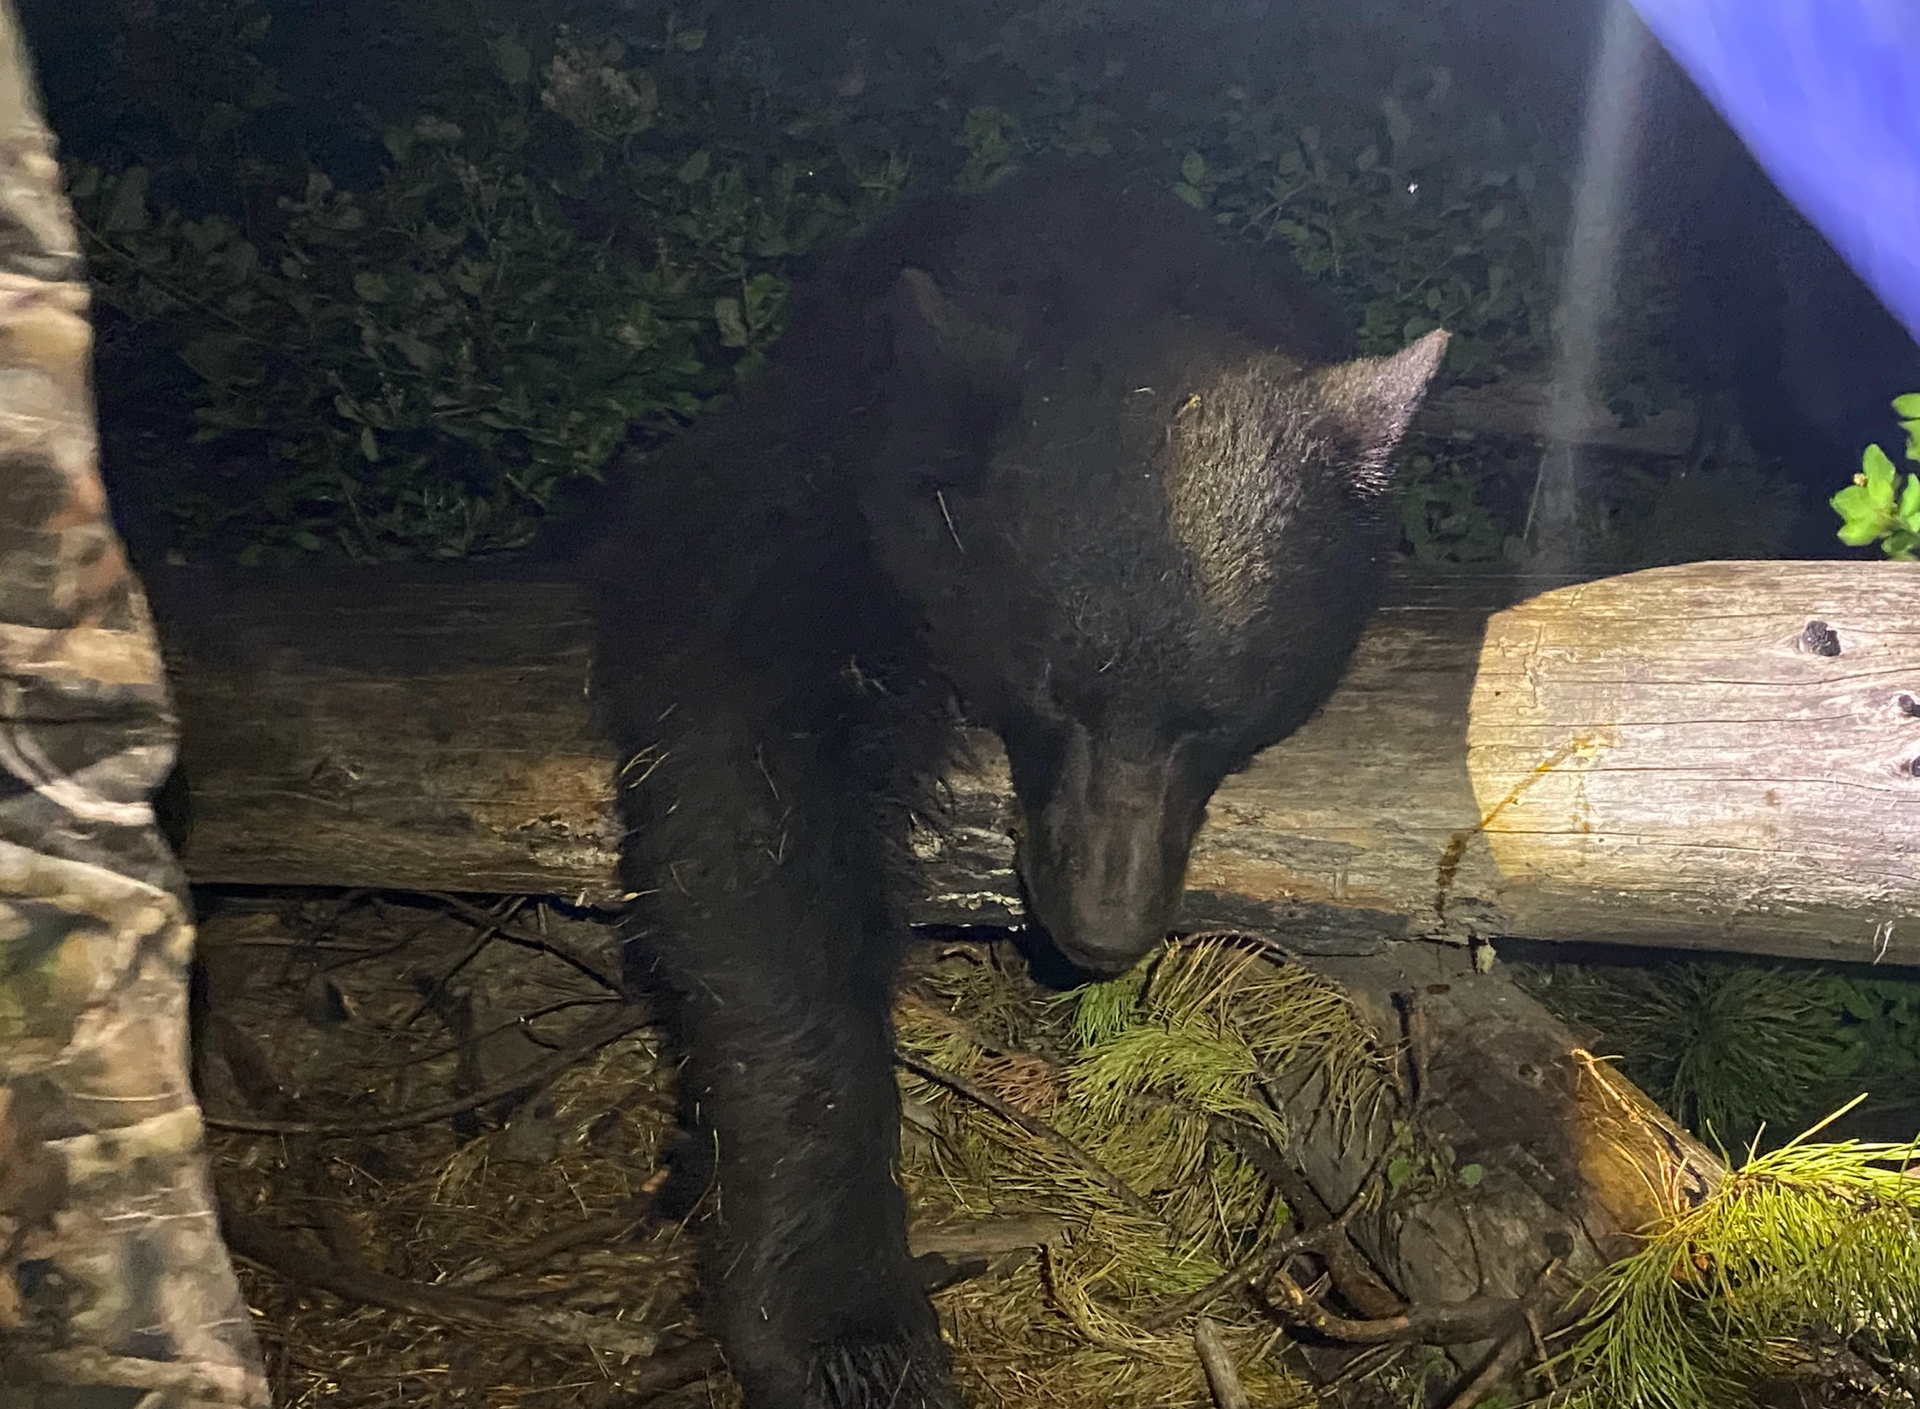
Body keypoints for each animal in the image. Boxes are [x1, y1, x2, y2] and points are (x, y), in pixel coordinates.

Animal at [589, 163, 1447, 1409]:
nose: (1103, 926)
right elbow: (748, 794)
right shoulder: (821, 464)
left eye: (1219, 713)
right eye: (1050, 689)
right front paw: (844, 1320)